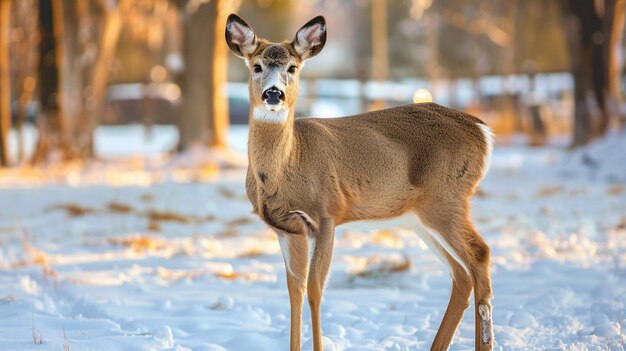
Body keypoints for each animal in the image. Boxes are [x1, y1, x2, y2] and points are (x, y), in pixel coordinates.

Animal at [224, 13, 492, 351]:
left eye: (293, 68)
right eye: (257, 66)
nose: (274, 94)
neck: (289, 165)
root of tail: (482, 130)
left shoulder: (327, 214)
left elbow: (315, 288)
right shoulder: (286, 228)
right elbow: (294, 290)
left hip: (447, 198)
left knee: (480, 255)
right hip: (420, 217)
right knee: (461, 274)